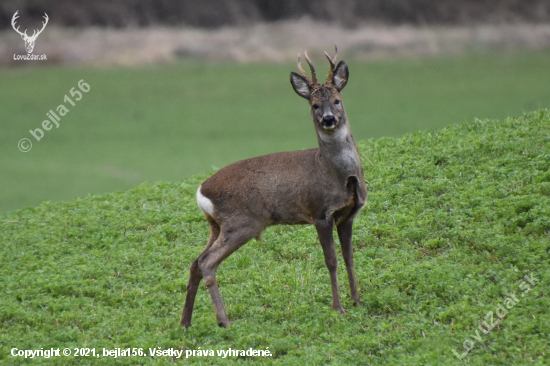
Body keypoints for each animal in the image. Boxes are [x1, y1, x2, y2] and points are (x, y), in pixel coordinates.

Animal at [183, 46, 368, 328]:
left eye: (337, 100)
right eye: (314, 104)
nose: (327, 119)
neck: (336, 173)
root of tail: (200, 191)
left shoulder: (348, 215)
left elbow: (349, 257)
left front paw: (357, 302)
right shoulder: (320, 213)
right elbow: (331, 260)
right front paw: (338, 309)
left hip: (216, 226)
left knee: (195, 262)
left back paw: (185, 323)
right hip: (241, 222)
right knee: (207, 263)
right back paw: (224, 321)